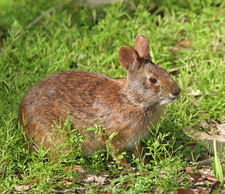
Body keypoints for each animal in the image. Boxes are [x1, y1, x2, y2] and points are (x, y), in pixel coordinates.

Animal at [19, 34, 181, 168]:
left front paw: (144, 164)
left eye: (164, 71)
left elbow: (138, 151)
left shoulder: (135, 139)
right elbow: (118, 154)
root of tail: (23, 123)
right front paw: (128, 168)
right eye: (153, 80)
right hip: (58, 136)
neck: (132, 100)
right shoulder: (113, 136)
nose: (176, 91)